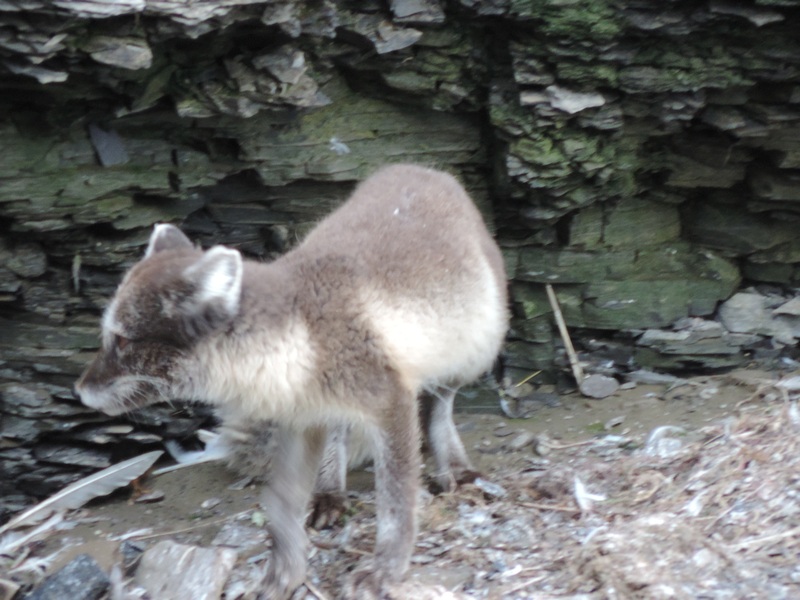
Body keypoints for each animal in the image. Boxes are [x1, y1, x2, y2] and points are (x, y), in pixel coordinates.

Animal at [78, 164, 510, 600]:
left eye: (122, 340)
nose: (79, 390)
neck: (300, 341)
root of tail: (423, 169)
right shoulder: (301, 421)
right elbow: (283, 507)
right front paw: (284, 573)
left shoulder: (391, 402)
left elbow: (395, 504)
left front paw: (386, 571)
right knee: (342, 436)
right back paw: (330, 493)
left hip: (472, 356)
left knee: (440, 407)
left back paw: (455, 467)